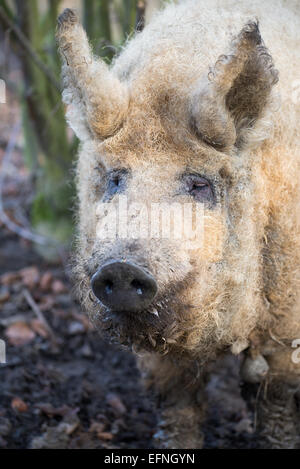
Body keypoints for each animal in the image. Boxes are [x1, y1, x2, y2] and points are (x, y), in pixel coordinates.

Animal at [56, 0, 300, 450]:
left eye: (199, 184)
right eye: (116, 179)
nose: (121, 268)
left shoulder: (286, 326)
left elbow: (275, 404)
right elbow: (177, 404)